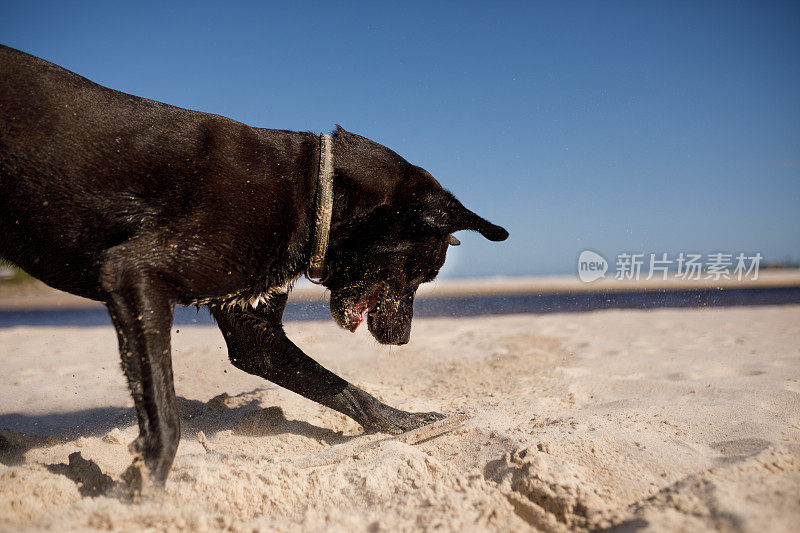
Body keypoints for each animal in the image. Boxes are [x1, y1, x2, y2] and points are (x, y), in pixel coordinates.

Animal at [0, 45, 510, 486]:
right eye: (423, 274)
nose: (402, 340)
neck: (313, 192)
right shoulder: (135, 276)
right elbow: (163, 412)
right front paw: (145, 485)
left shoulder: (253, 334)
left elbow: (343, 388)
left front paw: (405, 422)